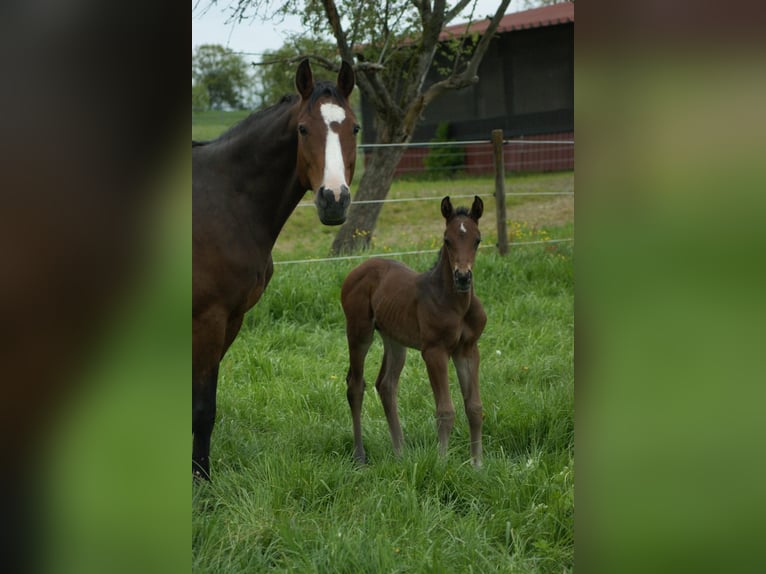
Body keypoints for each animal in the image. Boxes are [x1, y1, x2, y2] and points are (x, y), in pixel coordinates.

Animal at [192, 59, 360, 482]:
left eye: (353, 127)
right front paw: (201, 481)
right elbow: (202, 408)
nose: (334, 199)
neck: (225, 200)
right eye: (303, 129)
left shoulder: (231, 319)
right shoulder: (207, 319)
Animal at [340, 197, 486, 468]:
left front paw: (477, 465)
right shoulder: (434, 351)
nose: (462, 277)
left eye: (477, 240)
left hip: (395, 339)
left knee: (386, 385)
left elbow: (474, 407)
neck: (456, 304)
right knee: (355, 385)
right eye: (447, 240)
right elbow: (445, 410)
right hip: (359, 332)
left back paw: (400, 454)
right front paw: (442, 463)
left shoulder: (468, 349)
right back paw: (360, 455)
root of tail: (357, 269)